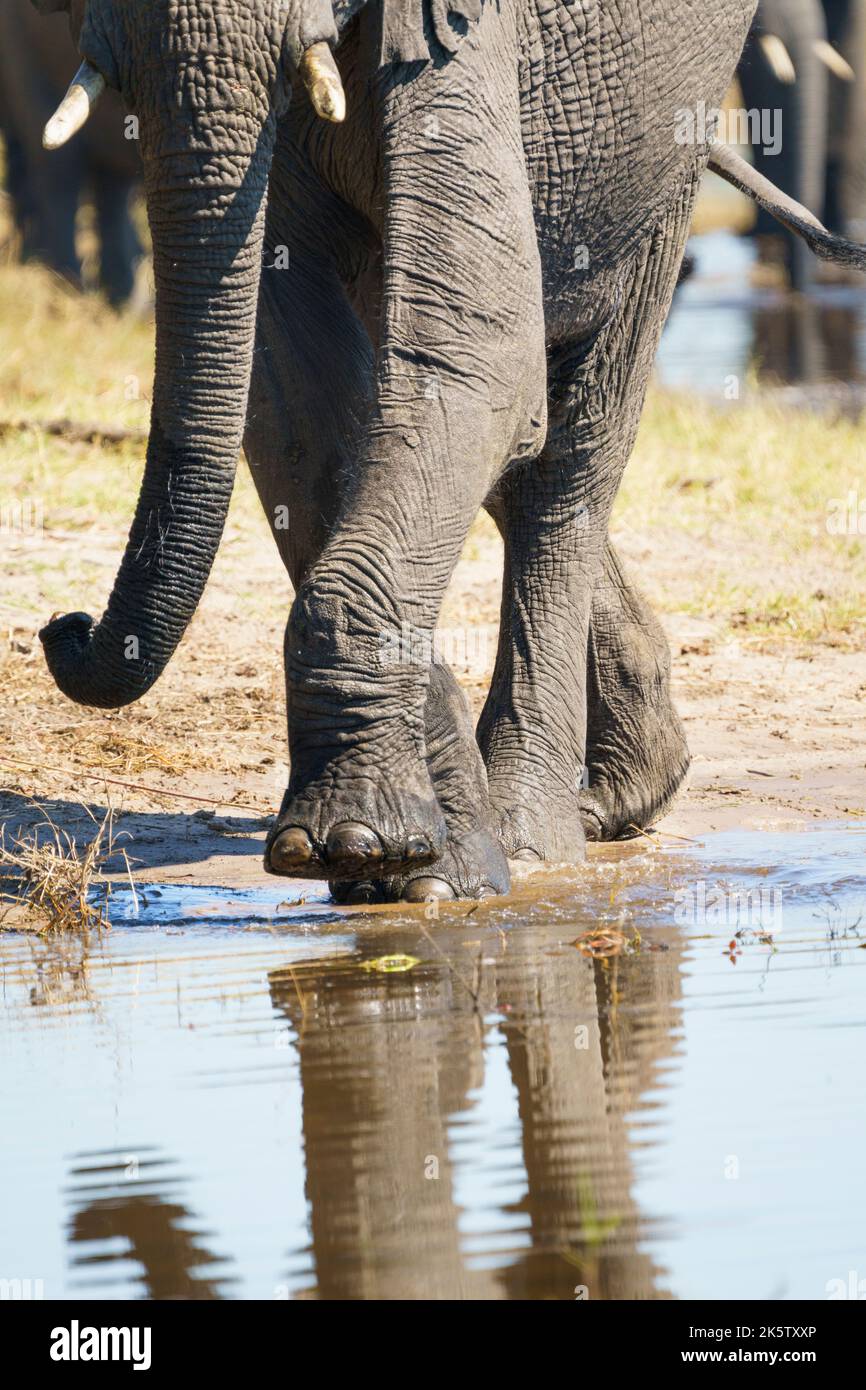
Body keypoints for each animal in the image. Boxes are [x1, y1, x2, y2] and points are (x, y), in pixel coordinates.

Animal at [31, 1, 866, 903]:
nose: (63, 626)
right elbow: (291, 385)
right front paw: (413, 862)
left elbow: (477, 349)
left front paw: (369, 848)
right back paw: (616, 795)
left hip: (670, 128)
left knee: (574, 438)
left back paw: (541, 839)